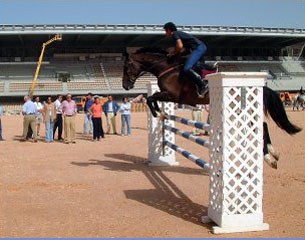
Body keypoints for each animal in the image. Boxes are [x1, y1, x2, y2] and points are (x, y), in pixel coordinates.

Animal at [121, 47, 302, 169]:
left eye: (127, 66)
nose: (125, 86)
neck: (166, 68)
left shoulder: (171, 95)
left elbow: (150, 98)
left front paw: (159, 113)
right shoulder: (167, 95)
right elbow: (151, 98)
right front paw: (162, 114)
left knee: (261, 127)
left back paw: (269, 157)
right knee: (262, 126)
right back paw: (273, 153)